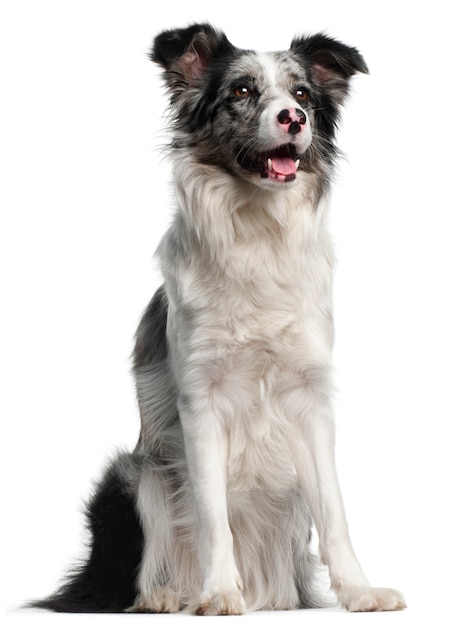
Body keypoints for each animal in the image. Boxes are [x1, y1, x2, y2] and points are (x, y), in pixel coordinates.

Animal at [29, 22, 406, 612]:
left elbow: (335, 509)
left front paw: (360, 591)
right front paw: (220, 593)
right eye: (242, 91)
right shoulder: (200, 400)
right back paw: (167, 595)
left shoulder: (310, 395)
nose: (294, 119)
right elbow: (211, 514)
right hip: (135, 474)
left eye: (302, 94)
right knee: (135, 569)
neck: (258, 232)